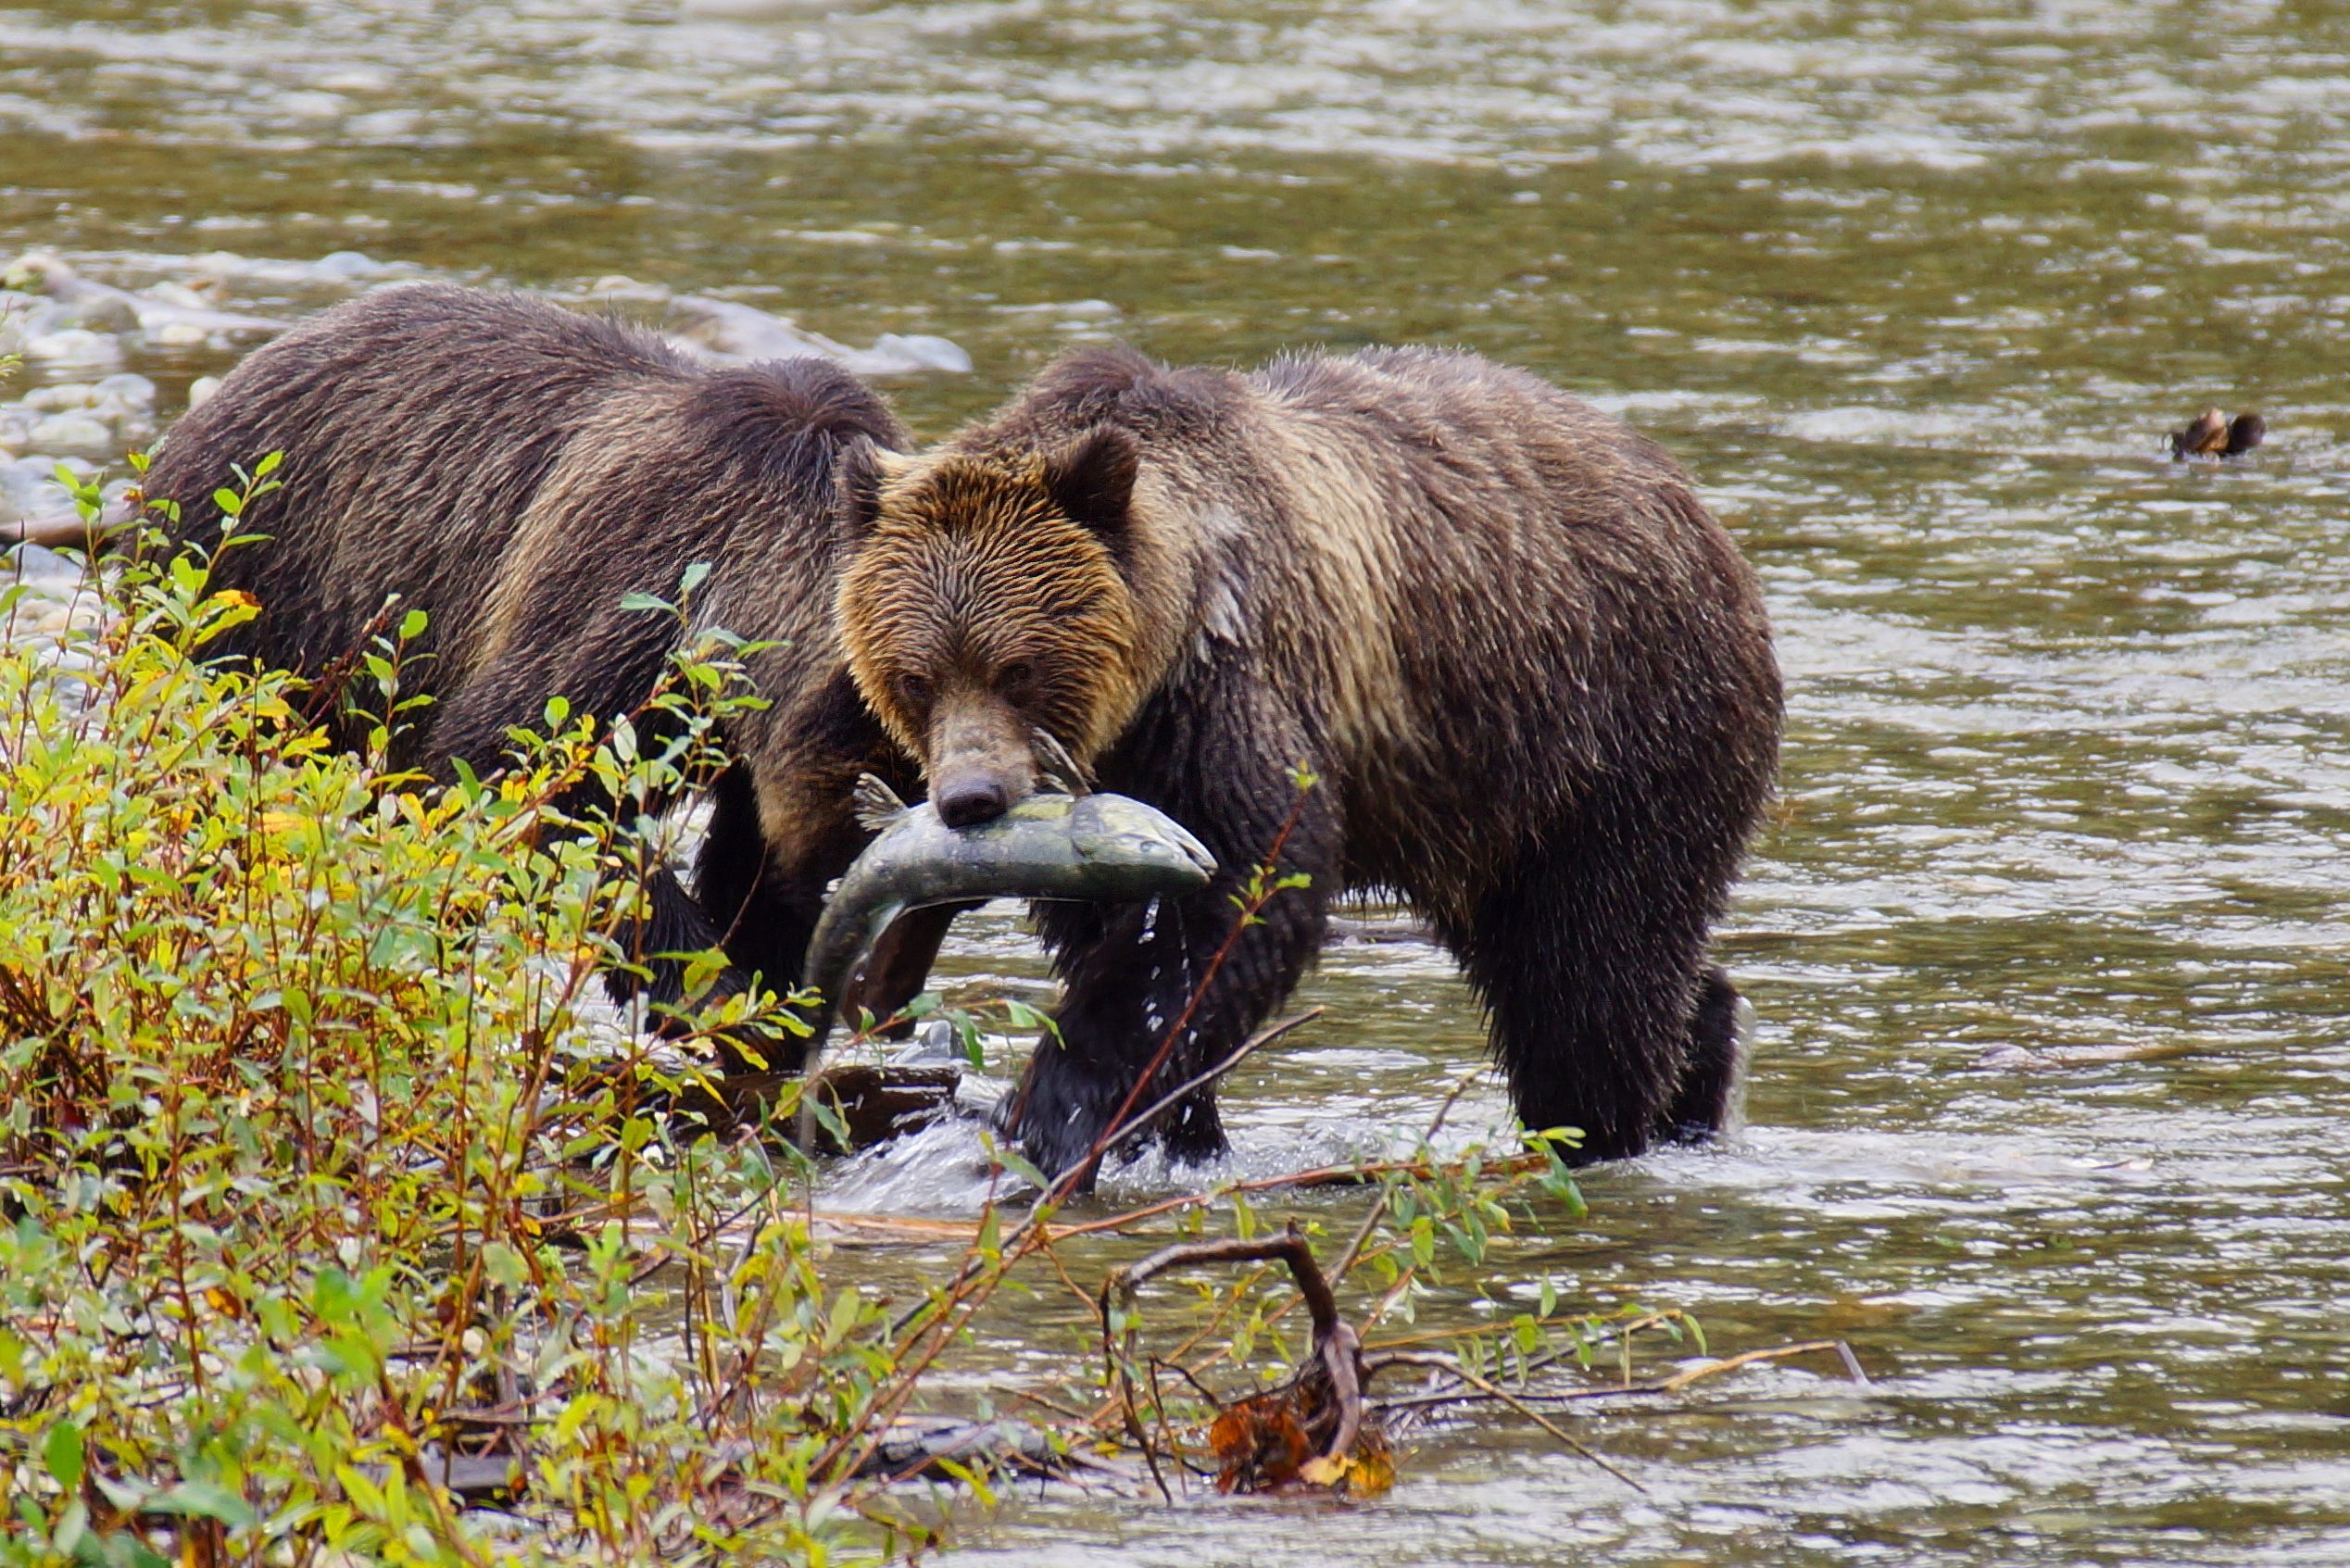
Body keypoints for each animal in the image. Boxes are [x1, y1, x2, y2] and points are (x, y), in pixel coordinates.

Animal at [141, 282, 920, 1059]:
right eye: (869, 828)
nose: (888, 998)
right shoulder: (633, 597)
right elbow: (526, 771)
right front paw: (707, 987)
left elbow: (746, 859)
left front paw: (767, 995)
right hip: (259, 603)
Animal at [833, 343, 1784, 1182]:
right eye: (915, 676)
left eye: (1018, 668)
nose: (971, 797)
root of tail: (1696, 509)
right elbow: (1106, 929)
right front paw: (1179, 1127)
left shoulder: (1232, 690)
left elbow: (1242, 891)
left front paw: (1052, 1112)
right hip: (1482, 801)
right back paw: (1703, 1059)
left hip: (1613, 728)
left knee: (1591, 968)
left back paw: (1602, 1127)